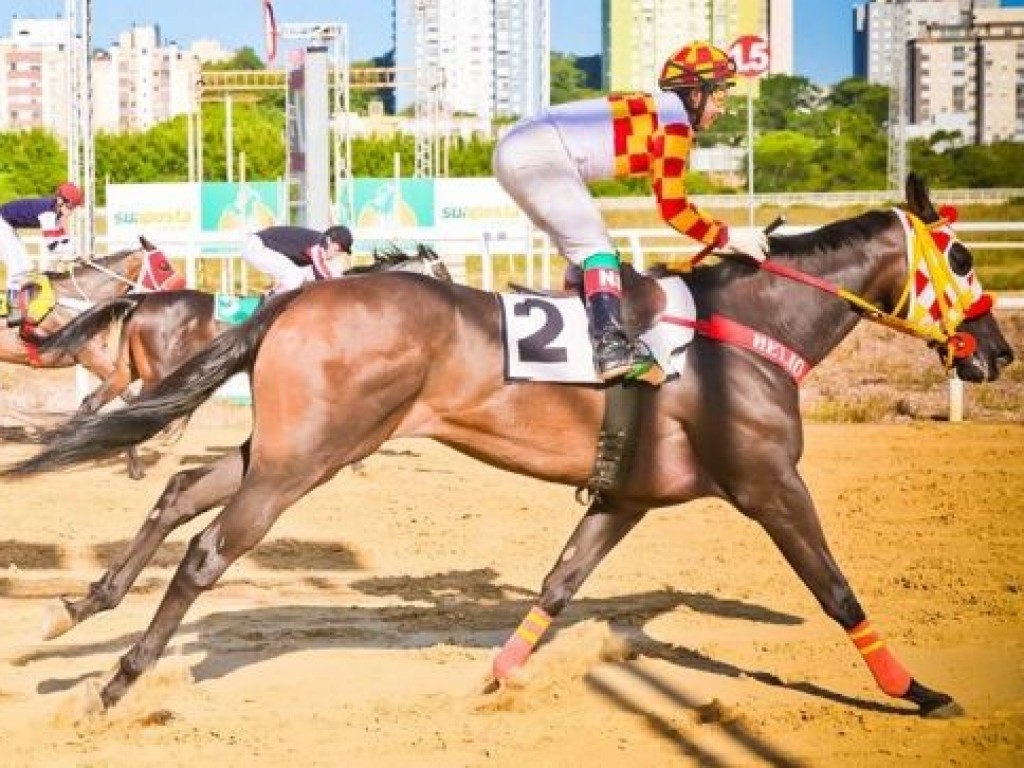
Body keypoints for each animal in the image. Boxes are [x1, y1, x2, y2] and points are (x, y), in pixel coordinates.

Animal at [0, 239, 182, 421]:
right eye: (163, 266)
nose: (181, 289)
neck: (76, 299)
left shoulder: (102, 353)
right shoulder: (91, 356)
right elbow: (127, 395)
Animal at [35, 243, 448, 479]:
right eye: (442, 270)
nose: (455, 291)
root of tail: (142, 298)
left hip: (127, 369)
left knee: (97, 402)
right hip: (160, 372)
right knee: (138, 409)